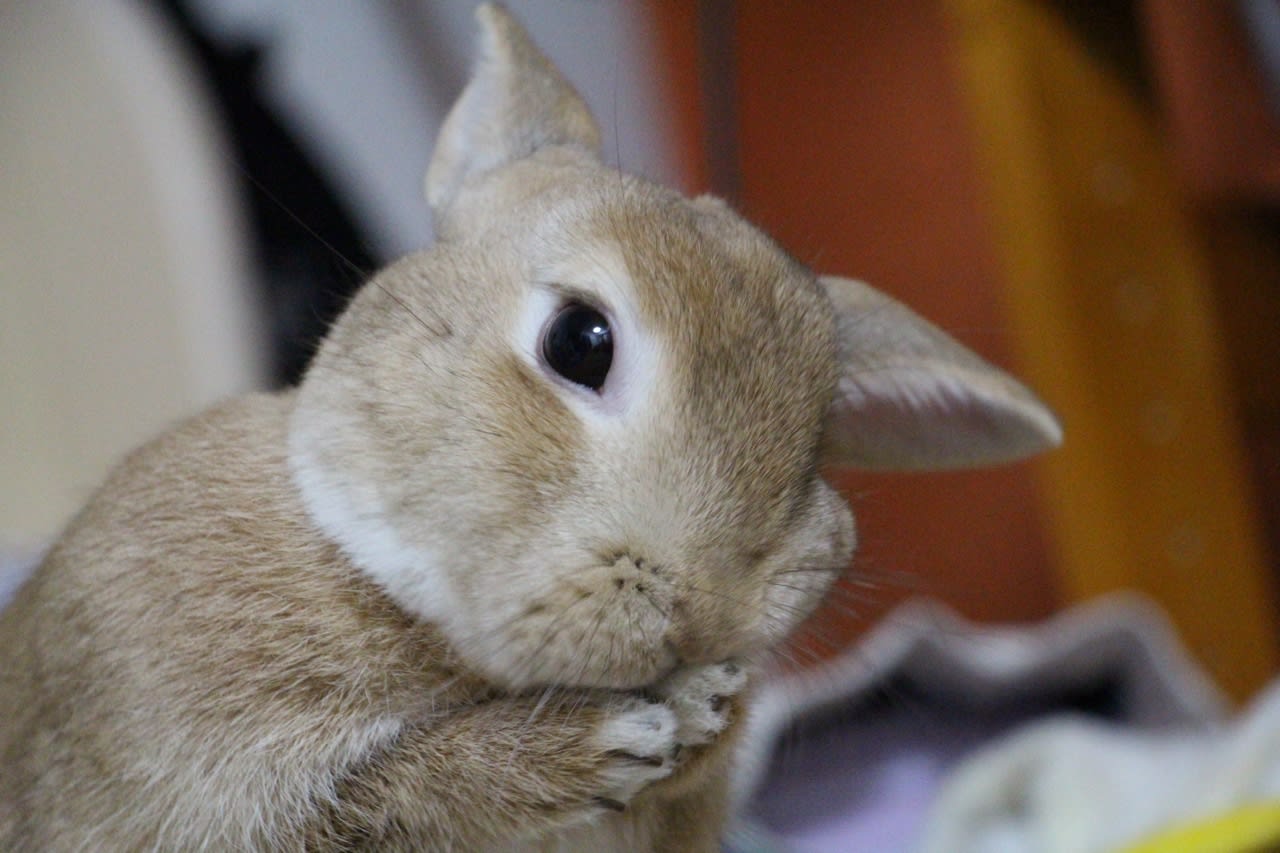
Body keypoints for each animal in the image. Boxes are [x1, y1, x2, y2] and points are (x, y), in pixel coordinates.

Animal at [0, 3, 1059, 845]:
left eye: (818, 448)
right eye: (580, 341)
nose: (705, 610)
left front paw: (702, 714)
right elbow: (391, 795)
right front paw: (628, 734)